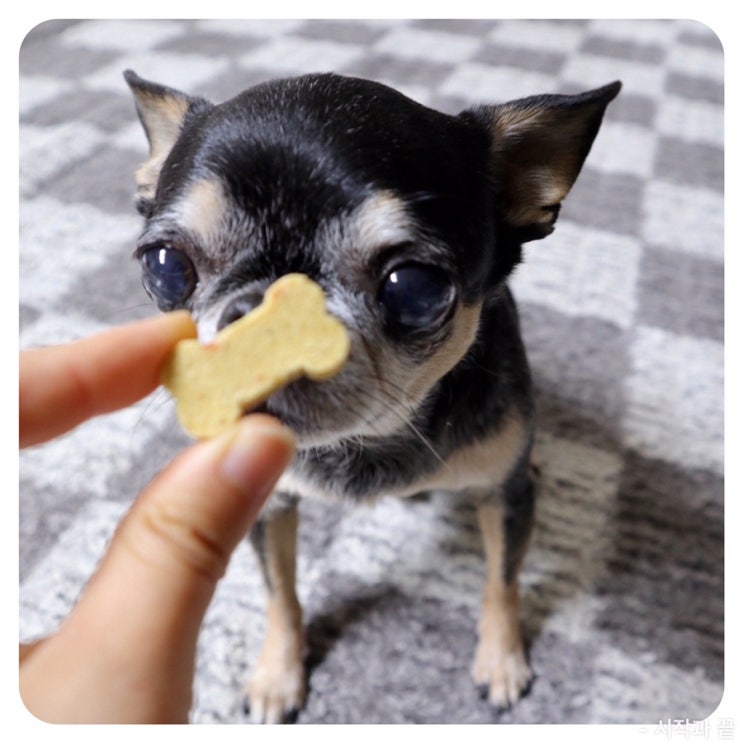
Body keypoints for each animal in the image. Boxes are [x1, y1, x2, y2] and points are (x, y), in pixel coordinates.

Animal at [125, 68, 620, 720]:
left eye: (414, 288)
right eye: (163, 267)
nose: (265, 322)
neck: (369, 442)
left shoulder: (505, 499)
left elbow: (502, 582)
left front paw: (502, 660)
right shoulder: (271, 505)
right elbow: (280, 593)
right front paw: (278, 674)